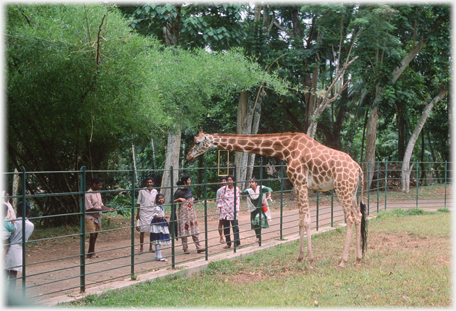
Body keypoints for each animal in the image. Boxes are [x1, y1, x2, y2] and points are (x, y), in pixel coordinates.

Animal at [185, 130, 366, 266]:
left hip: (342, 189)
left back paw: (343, 261)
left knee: (350, 218)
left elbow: (307, 220)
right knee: (358, 216)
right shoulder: (299, 185)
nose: (188, 157)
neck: (286, 149)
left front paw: (310, 260)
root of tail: (358, 168)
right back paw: (358, 258)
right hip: (352, 192)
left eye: (197, 142)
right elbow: (301, 220)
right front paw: (299, 258)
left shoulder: (301, 183)